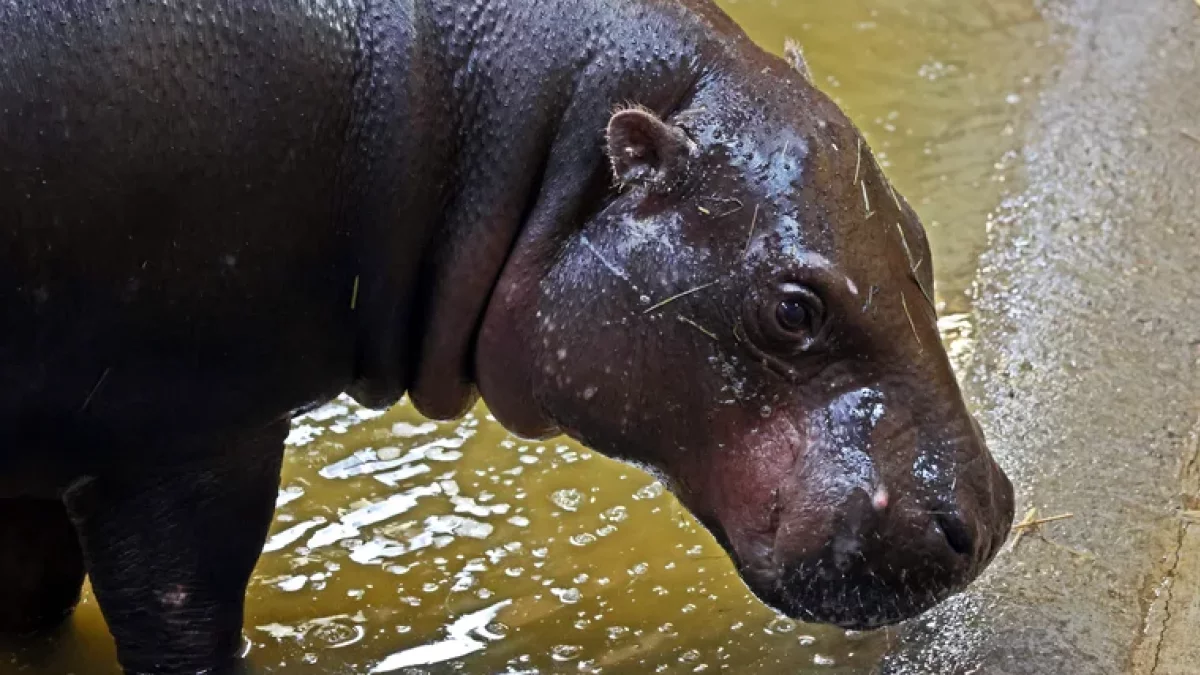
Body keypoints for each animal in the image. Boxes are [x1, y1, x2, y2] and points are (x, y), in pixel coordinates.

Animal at [0, 0, 1012, 667]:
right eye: (794, 309)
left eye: (915, 233)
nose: (995, 514)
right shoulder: (188, 443)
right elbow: (180, 619)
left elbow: (35, 594)